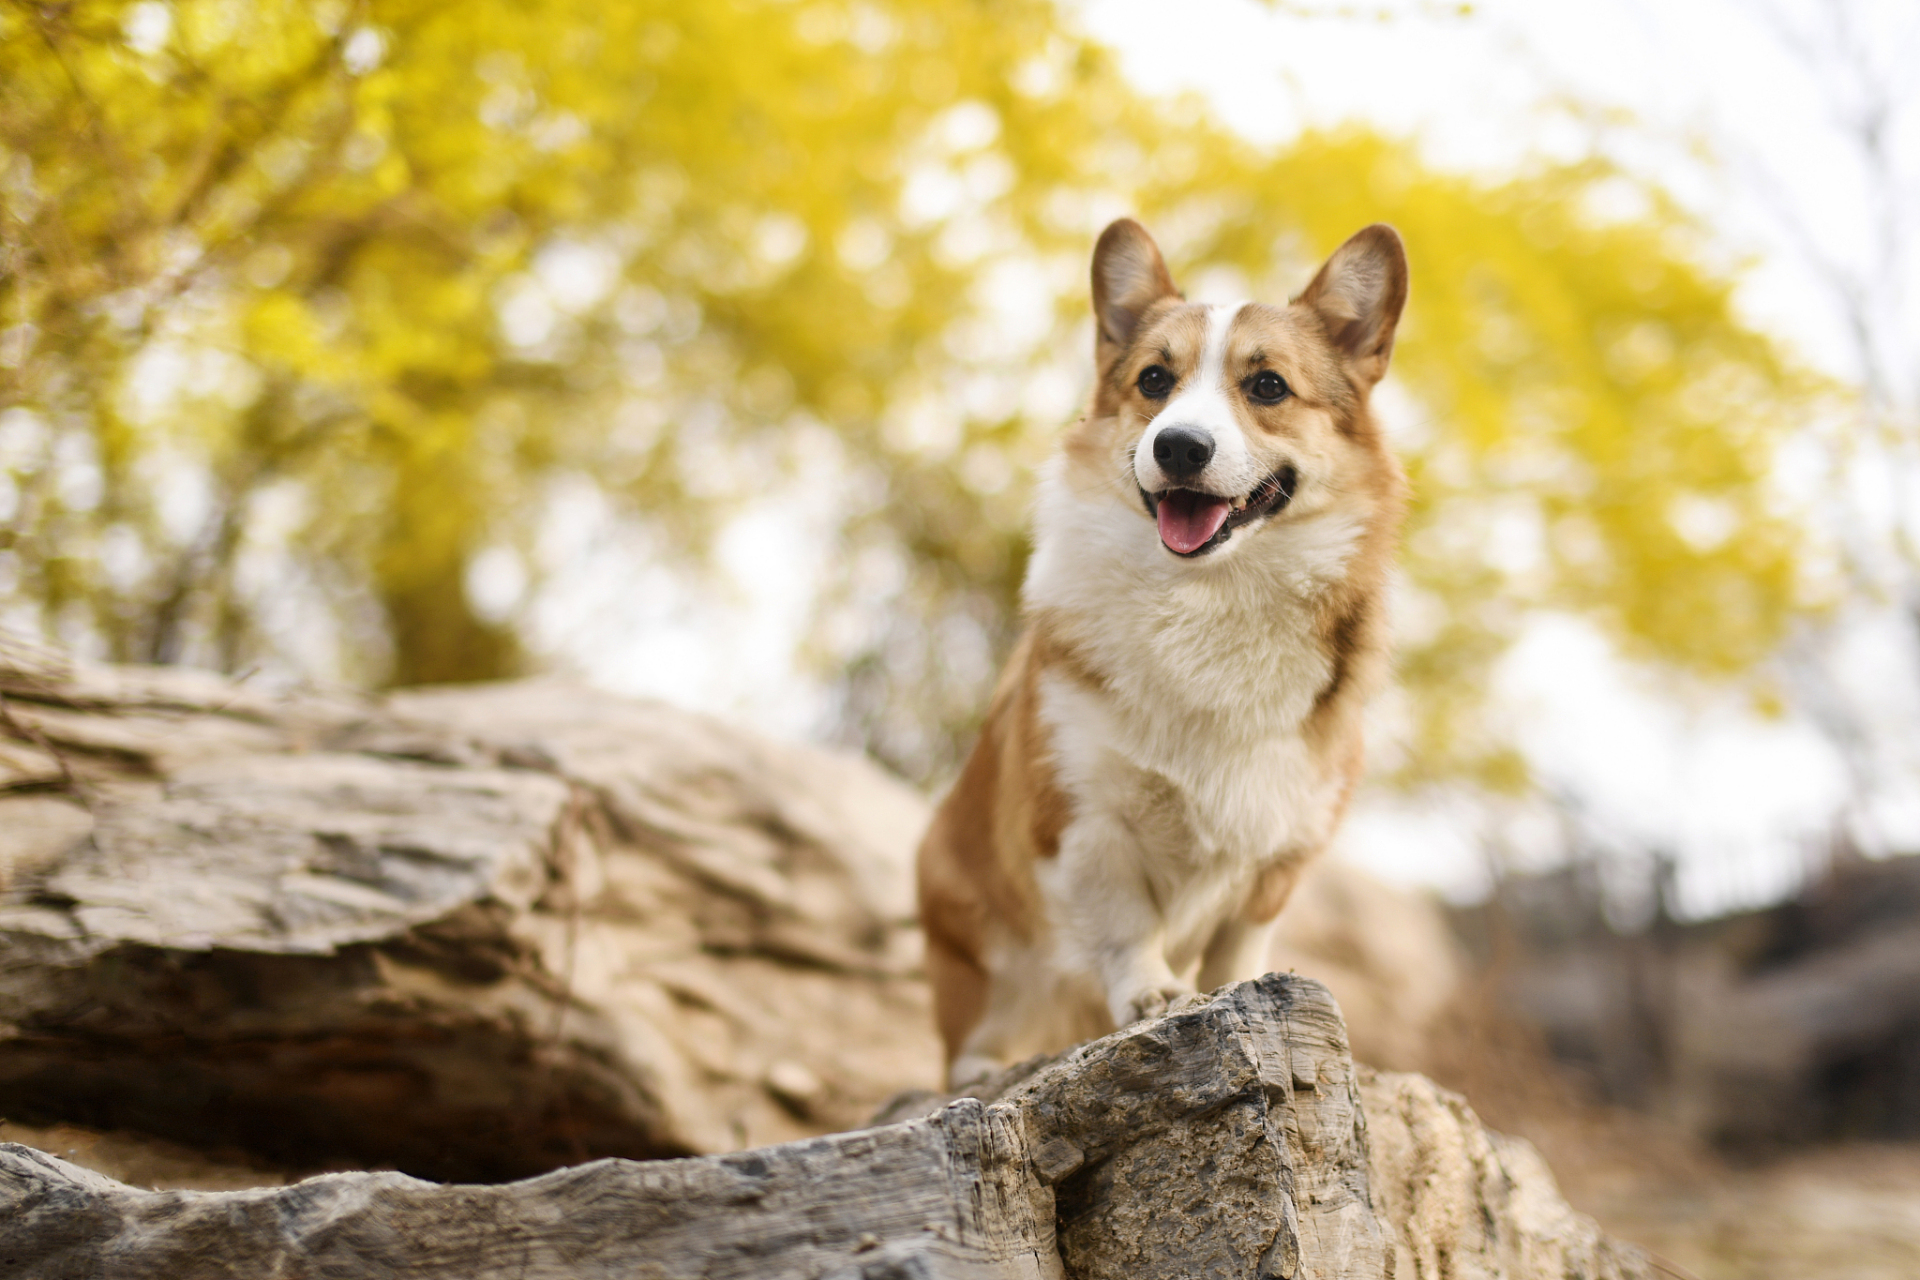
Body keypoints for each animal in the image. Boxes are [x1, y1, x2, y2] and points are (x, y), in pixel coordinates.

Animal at [913, 217, 1413, 1082]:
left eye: (1268, 387)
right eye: (1154, 379)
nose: (1179, 446)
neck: (1209, 598)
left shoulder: (1284, 844)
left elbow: (1238, 946)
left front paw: (1239, 994)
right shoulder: (1080, 815)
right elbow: (1124, 920)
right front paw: (1150, 993)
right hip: (973, 937)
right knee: (983, 1028)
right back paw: (979, 1066)